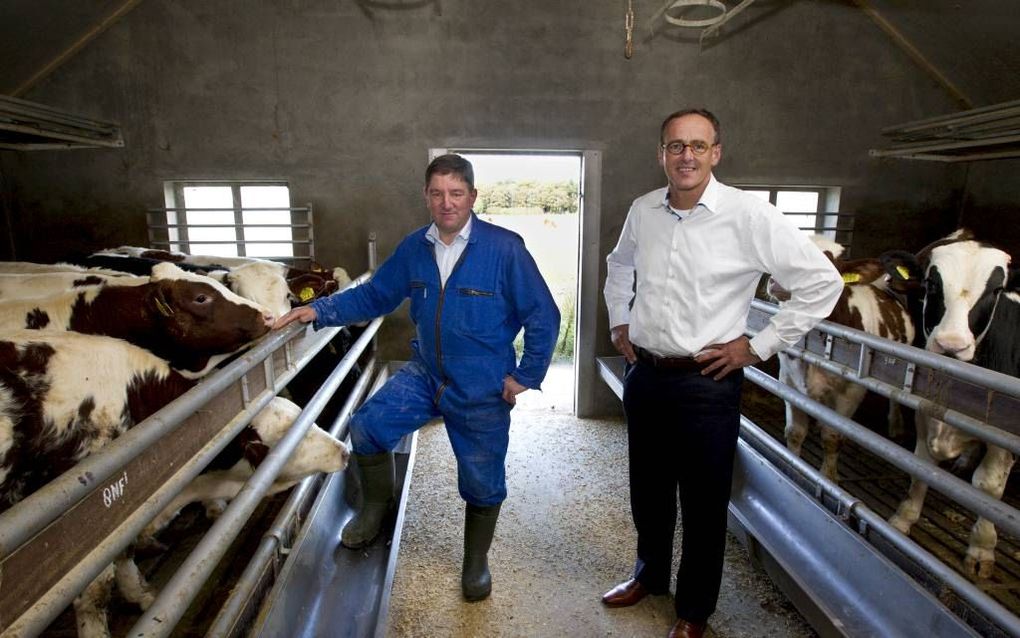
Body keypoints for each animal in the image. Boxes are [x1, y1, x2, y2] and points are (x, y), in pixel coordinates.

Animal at [771, 236, 918, 479]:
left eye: (827, 262)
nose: (780, 281)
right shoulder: (788, 379)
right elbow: (795, 432)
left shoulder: (851, 392)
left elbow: (832, 438)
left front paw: (828, 477)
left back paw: (896, 426)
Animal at [889, 228, 1015, 575]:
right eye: (932, 283)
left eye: (996, 290)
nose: (951, 345)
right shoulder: (922, 407)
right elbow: (920, 465)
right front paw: (904, 518)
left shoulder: (1005, 436)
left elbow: (988, 488)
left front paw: (982, 549)